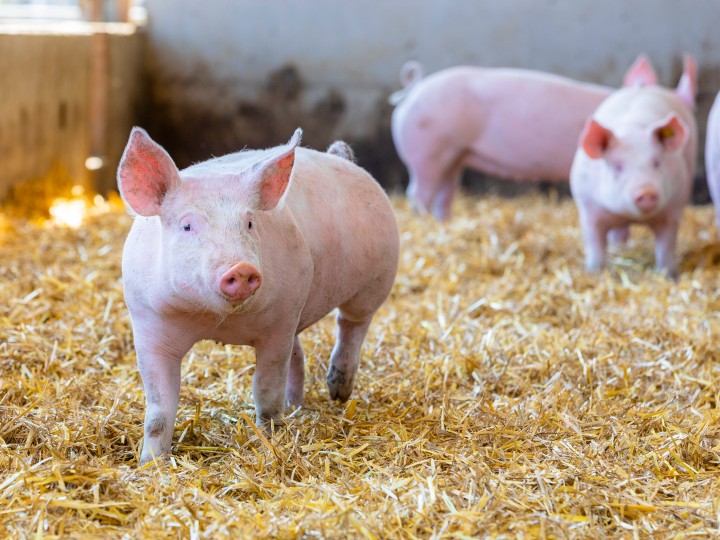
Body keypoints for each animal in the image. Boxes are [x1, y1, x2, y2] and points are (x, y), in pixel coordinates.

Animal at [117, 128, 399, 463]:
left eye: (249, 223)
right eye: (187, 225)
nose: (240, 269)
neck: (217, 321)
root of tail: (339, 157)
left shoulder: (277, 324)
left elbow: (266, 388)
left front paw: (270, 436)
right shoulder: (149, 326)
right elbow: (160, 409)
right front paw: (151, 463)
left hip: (374, 281)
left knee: (352, 325)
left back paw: (338, 392)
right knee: (299, 353)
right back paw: (296, 405)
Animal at [569, 85, 697, 275]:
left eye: (657, 163)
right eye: (617, 166)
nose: (646, 191)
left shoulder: (673, 210)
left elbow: (666, 247)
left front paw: (668, 274)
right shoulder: (588, 208)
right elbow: (594, 244)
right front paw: (594, 272)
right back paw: (620, 247)